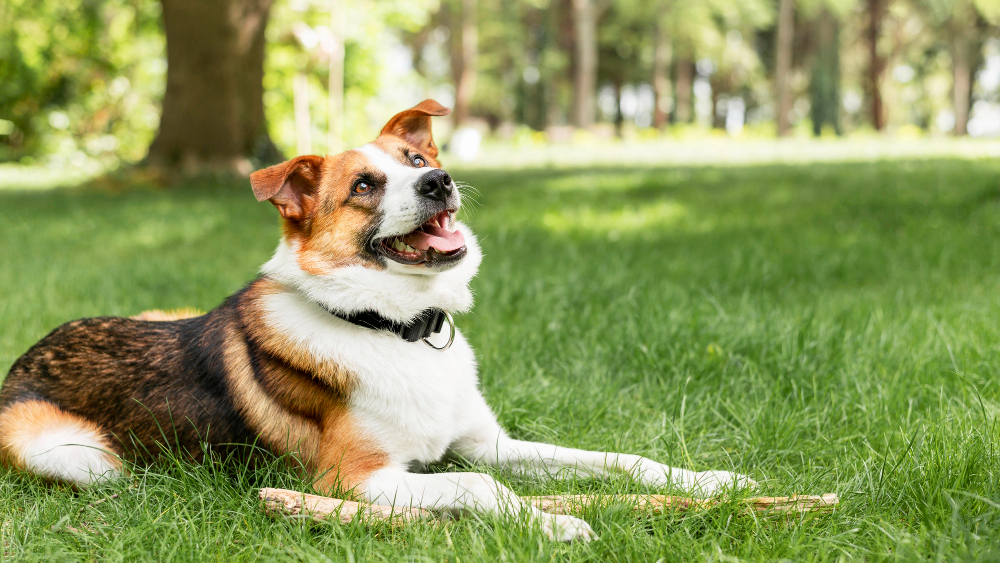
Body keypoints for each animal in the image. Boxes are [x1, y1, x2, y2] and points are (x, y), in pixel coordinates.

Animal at [0, 101, 752, 540]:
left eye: (418, 160)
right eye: (365, 185)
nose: (438, 182)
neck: (396, 327)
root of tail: (25, 356)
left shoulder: (485, 442)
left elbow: (619, 458)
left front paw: (711, 484)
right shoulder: (353, 479)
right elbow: (478, 486)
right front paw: (550, 525)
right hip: (78, 455)